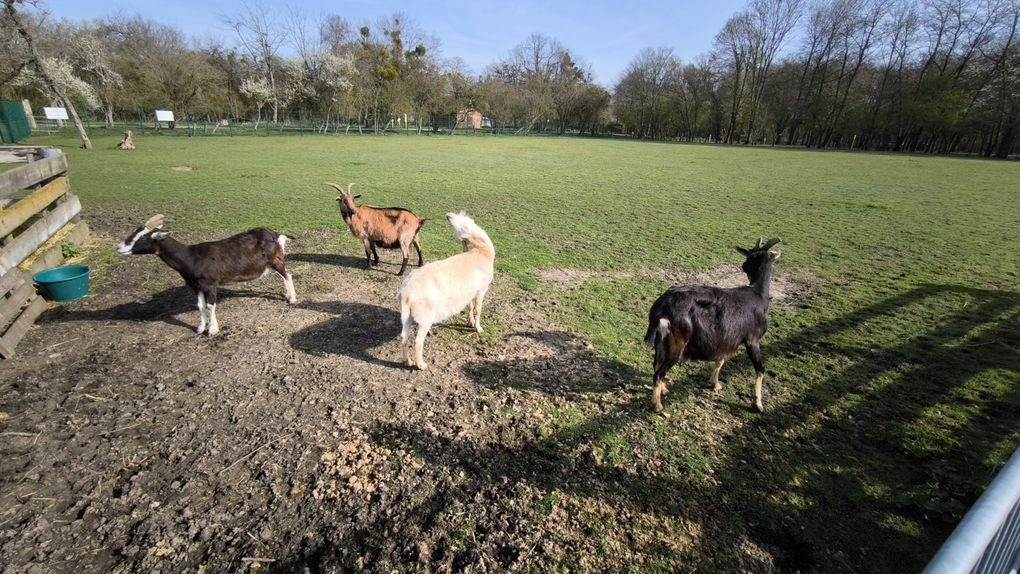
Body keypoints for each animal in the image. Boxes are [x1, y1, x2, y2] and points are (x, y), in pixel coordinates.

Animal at [117, 216, 297, 336]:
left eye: (144, 238)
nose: (119, 247)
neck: (191, 257)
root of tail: (275, 234)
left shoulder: (210, 284)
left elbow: (210, 306)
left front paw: (212, 330)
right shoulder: (195, 286)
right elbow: (200, 305)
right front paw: (199, 328)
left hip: (276, 260)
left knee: (287, 275)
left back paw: (292, 299)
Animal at [395, 213, 495, 371]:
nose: (448, 215)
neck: (483, 251)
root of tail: (405, 294)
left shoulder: (470, 292)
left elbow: (470, 307)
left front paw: (471, 322)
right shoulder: (481, 289)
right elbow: (478, 309)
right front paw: (478, 328)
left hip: (407, 315)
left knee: (403, 336)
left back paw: (407, 361)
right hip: (425, 317)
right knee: (418, 341)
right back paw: (421, 365)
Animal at [644, 238, 779, 413]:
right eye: (749, 255)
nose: (743, 266)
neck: (758, 294)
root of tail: (661, 307)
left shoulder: (727, 337)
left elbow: (721, 359)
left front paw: (715, 384)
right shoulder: (752, 339)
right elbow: (760, 368)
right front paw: (758, 404)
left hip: (661, 341)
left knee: (656, 365)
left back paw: (664, 390)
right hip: (676, 343)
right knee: (659, 372)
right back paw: (657, 404)